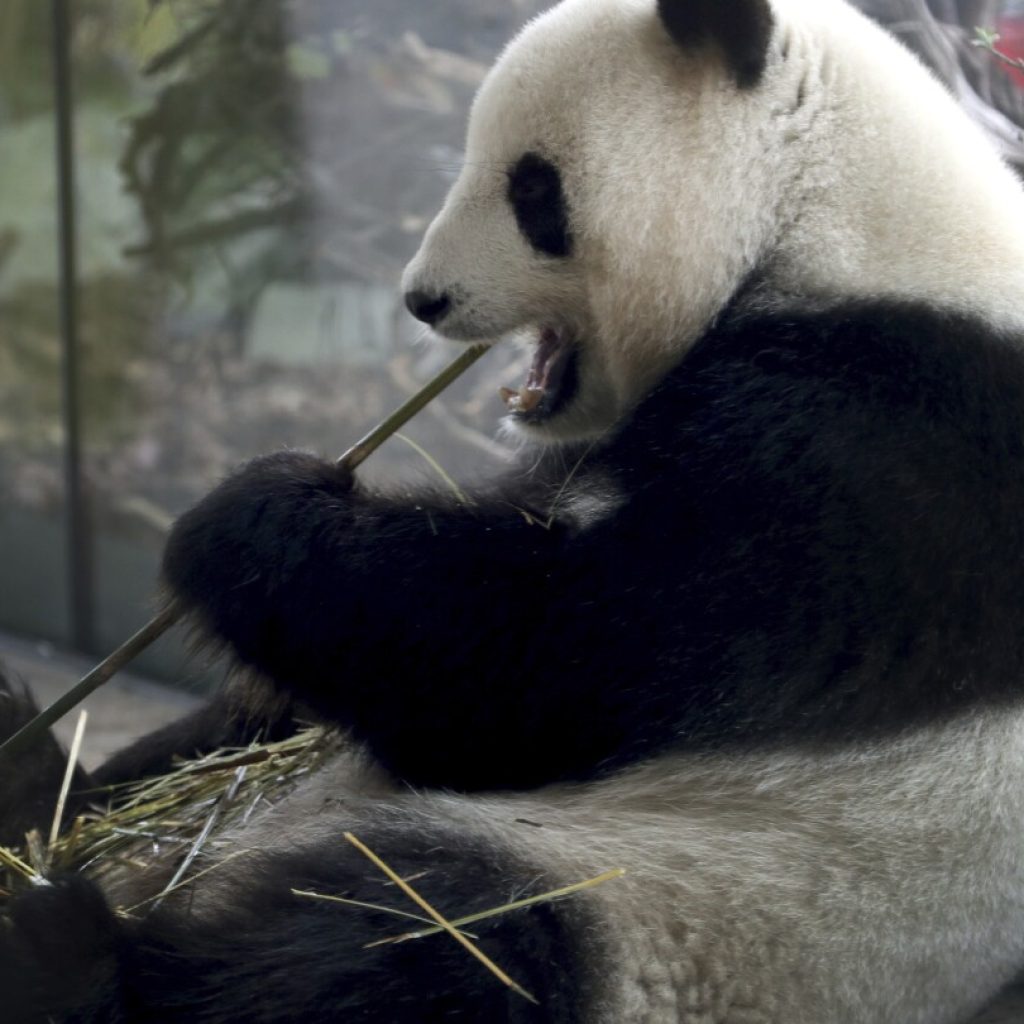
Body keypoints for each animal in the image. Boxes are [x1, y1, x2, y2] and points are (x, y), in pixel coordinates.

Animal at [2, 0, 1024, 1019]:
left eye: (534, 191)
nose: (423, 299)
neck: (840, 218)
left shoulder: (874, 459)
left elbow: (553, 658)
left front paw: (245, 515)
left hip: (679, 898)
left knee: (419, 942)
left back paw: (70, 954)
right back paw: (35, 783)